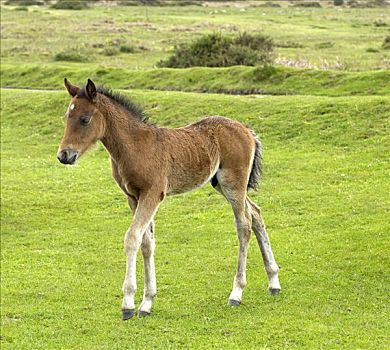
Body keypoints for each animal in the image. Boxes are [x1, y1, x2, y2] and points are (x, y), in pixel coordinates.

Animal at [57, 79, 280, 320]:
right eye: (66, 117)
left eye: (85, 119)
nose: (64, 155)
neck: (135, 146)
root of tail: (247, 130)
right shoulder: (133, 197)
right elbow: (146, 242)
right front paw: (146, 303)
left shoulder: (153, 194)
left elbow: (132, 238)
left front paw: (128, 304)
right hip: (220, 184)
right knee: (256, 213)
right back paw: (273, 282)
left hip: (233, 184)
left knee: (244, 225)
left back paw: (236, 293)